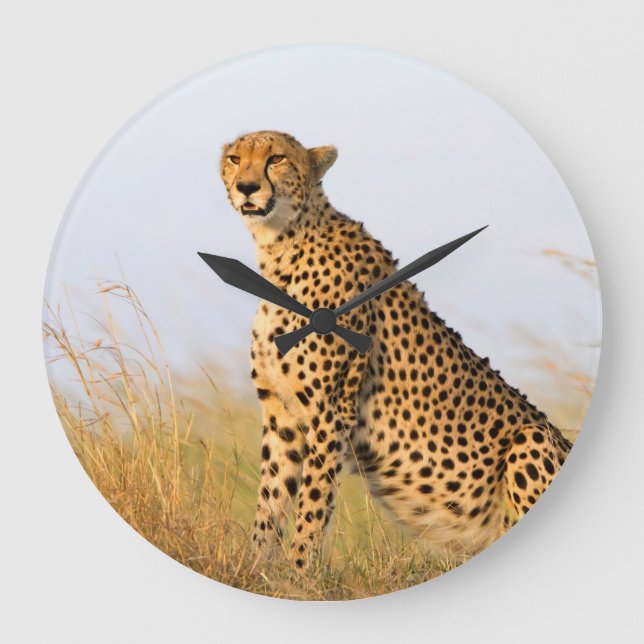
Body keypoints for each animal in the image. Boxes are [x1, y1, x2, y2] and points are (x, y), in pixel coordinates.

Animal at [219, 130, 573, 569]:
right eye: (235, 159)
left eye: (276, 159)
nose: (247, 187)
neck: (281, 246)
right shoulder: (281, 413)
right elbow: (271, 500)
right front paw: (256, 569)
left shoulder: (330, 410)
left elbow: (313, 504)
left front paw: (299, 572)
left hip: (531, 438)